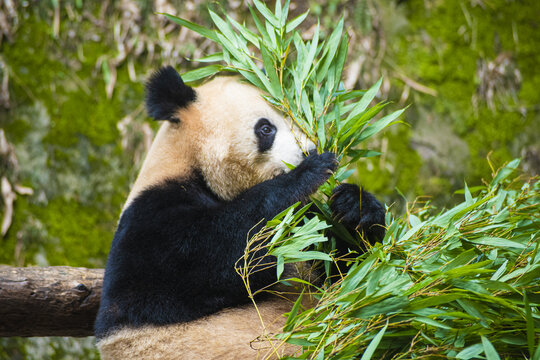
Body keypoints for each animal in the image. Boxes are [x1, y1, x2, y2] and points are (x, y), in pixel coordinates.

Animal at [95, 66, 386, 358]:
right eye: (266, 128)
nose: (309, 150)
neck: (191, 164)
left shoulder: (305, 226)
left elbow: (346, 271)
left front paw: (355, 206)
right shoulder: (149, 222)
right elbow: (221, 255)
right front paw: (309, 171)